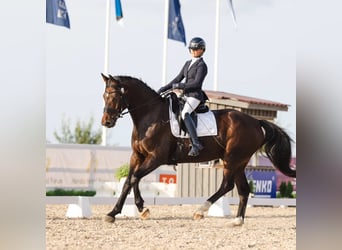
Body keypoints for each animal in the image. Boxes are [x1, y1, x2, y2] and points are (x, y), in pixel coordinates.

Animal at [100, 73, 296, 225]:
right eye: (104, 95)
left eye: (114, 96)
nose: (106, 122)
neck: (150, 116)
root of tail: (255, 122)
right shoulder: (137, 156)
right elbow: (128, 181)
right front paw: (121, 211)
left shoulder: (156, 157)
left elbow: (135, 177)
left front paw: (134, 209)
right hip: (239, 162)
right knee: (243, 190)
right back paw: (237, 220)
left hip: (232, 159)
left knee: (227, 185)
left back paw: (200, 211)